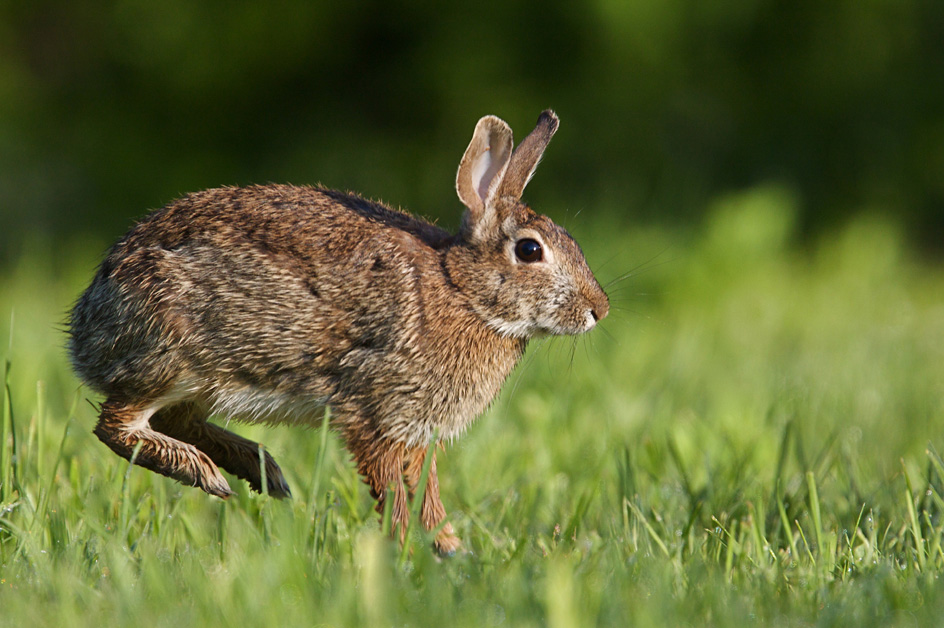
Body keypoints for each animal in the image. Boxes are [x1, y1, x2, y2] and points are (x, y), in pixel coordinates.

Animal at [68, 111, 612, 556]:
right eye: (529, 251)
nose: (598, 310)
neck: (462, 291)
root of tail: (86, 325)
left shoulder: (417, 433)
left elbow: (427, 495)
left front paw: (450, 552)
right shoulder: (376, 413)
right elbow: (395, 493)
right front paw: (412, 554)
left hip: (202, 380)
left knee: (174, 420)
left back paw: (263, 472)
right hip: (173, 354)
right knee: (116, 425)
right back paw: (208, 473)